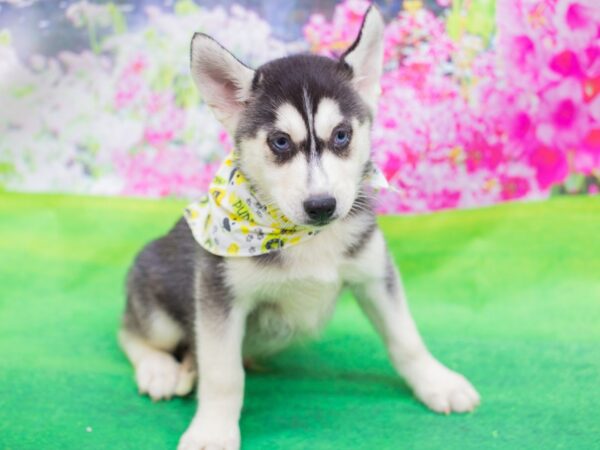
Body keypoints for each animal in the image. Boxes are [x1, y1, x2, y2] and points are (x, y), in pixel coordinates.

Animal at [119, 7, 480, 450]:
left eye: (342, 135)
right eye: (279, 142)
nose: (322, 205)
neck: (306, 238)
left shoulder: (375, 276)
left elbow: (406, 338)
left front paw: (437, 382)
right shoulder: (220, 295)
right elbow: (224, 375)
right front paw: (213, 430)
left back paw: (187, 367)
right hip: (156, 308)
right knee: (131, 333)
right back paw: (160, 369)